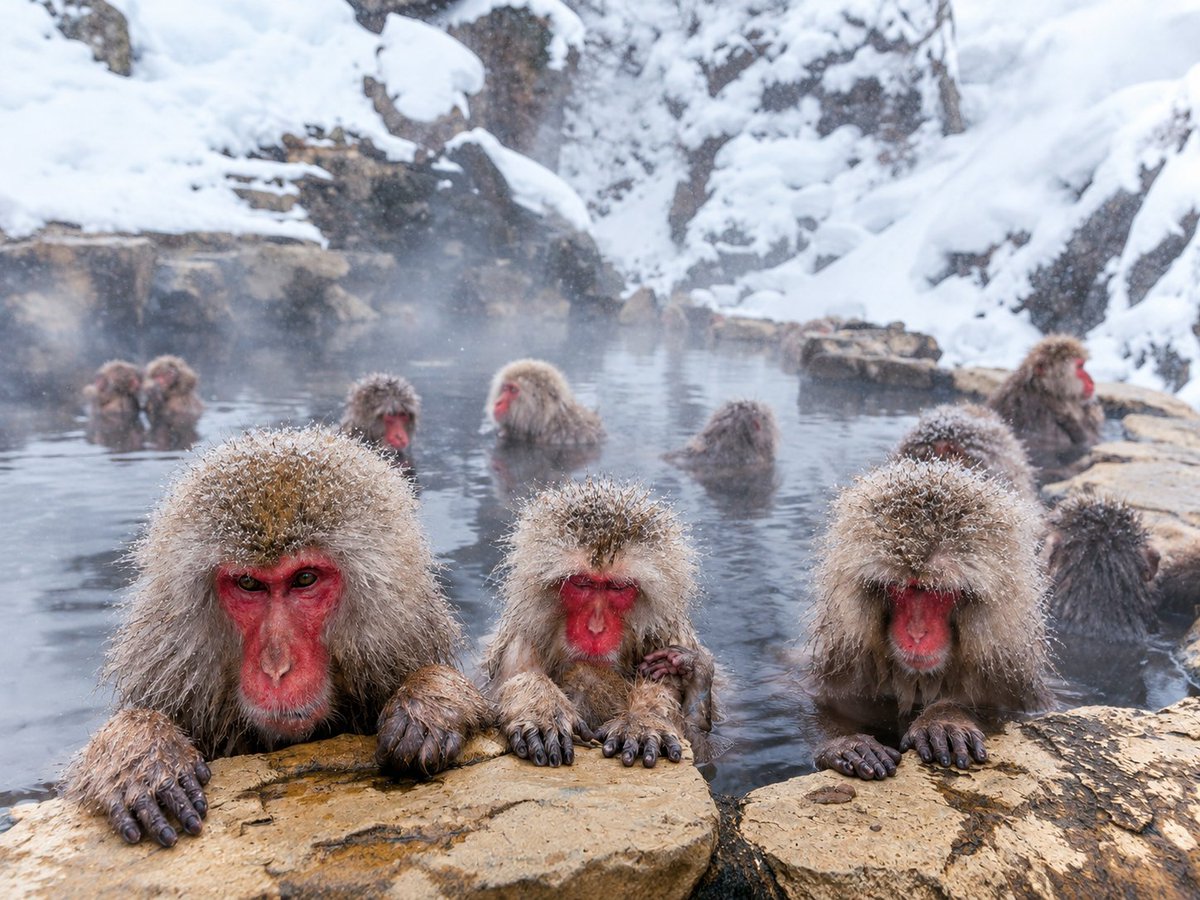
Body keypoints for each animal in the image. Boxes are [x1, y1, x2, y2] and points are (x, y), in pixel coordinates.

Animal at [483, 477, 716, 770]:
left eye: (618, 587)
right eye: (582, 583)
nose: (595, 629)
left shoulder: (669, 634)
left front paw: (643, 719)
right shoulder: (520, 638)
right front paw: (540, 707)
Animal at [808, 458, 1050, 779]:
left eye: (938, 591)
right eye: (902, 588)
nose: (917, 634)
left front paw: (944, 720)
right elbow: (833, 705)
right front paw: (847, 744)